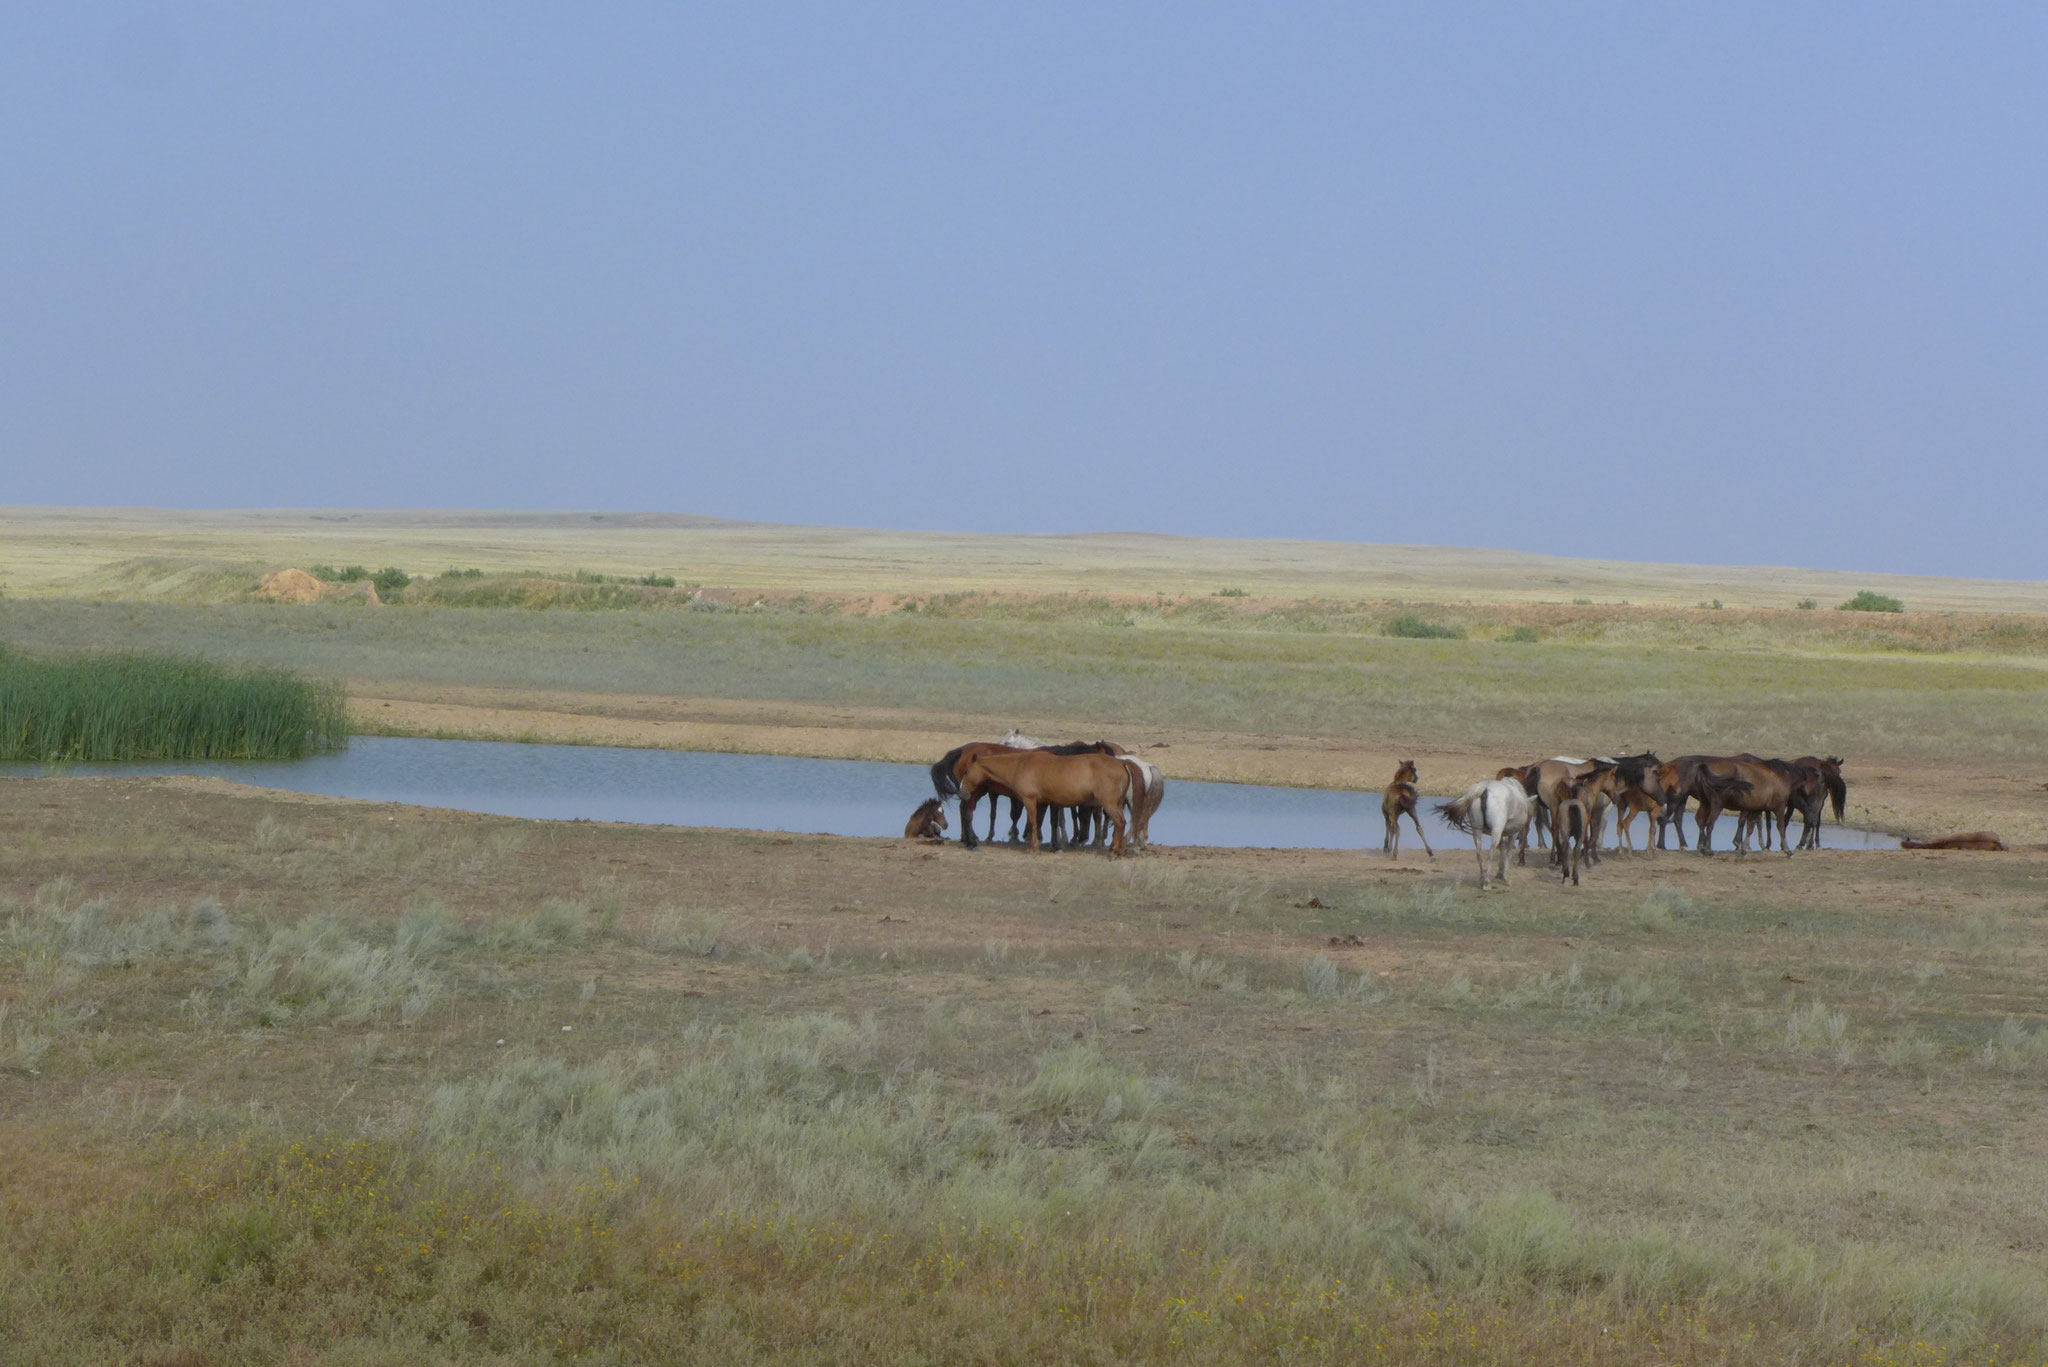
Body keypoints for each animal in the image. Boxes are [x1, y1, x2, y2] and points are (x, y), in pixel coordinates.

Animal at [956, 748, 1130, 854]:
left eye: (967, 771)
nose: (962, 792)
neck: (1019, 765)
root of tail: (1121, 763)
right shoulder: (1045, 802)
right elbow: (1042, 822)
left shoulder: (1030, 800)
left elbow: (1033, 821)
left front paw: (1033, 847)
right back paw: (1118, 849)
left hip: (1109, 804)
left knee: (1120, 822)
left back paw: (1114, 851)